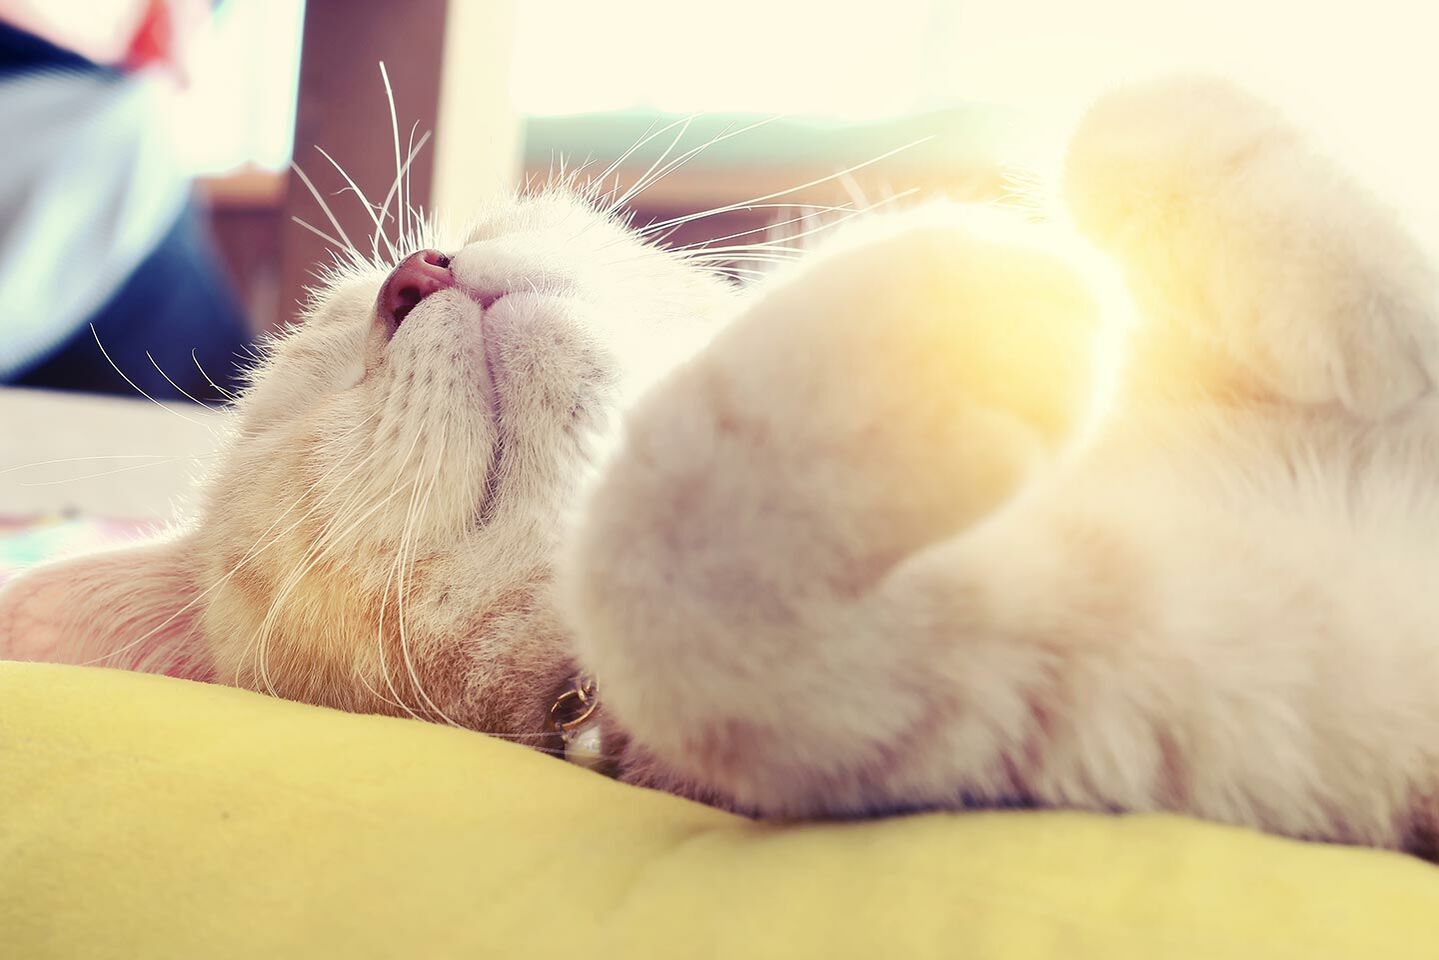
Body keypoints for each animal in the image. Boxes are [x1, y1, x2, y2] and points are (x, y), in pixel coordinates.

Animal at [2, 77, 1439, 857]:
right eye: (305, 396)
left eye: (491, 219)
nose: (422, 273)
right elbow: (659, 567)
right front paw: (958, 300)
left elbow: (1125, 116)